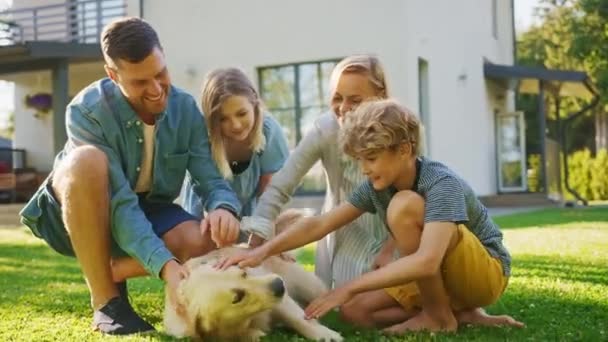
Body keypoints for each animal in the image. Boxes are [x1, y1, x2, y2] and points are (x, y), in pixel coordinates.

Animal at [163, 210, 342, 340]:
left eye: (244, 273)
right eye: (237, 298)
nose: (279, 285)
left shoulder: (282, 300)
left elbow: (298, 318)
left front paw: (325, 334)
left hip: (308, 286)